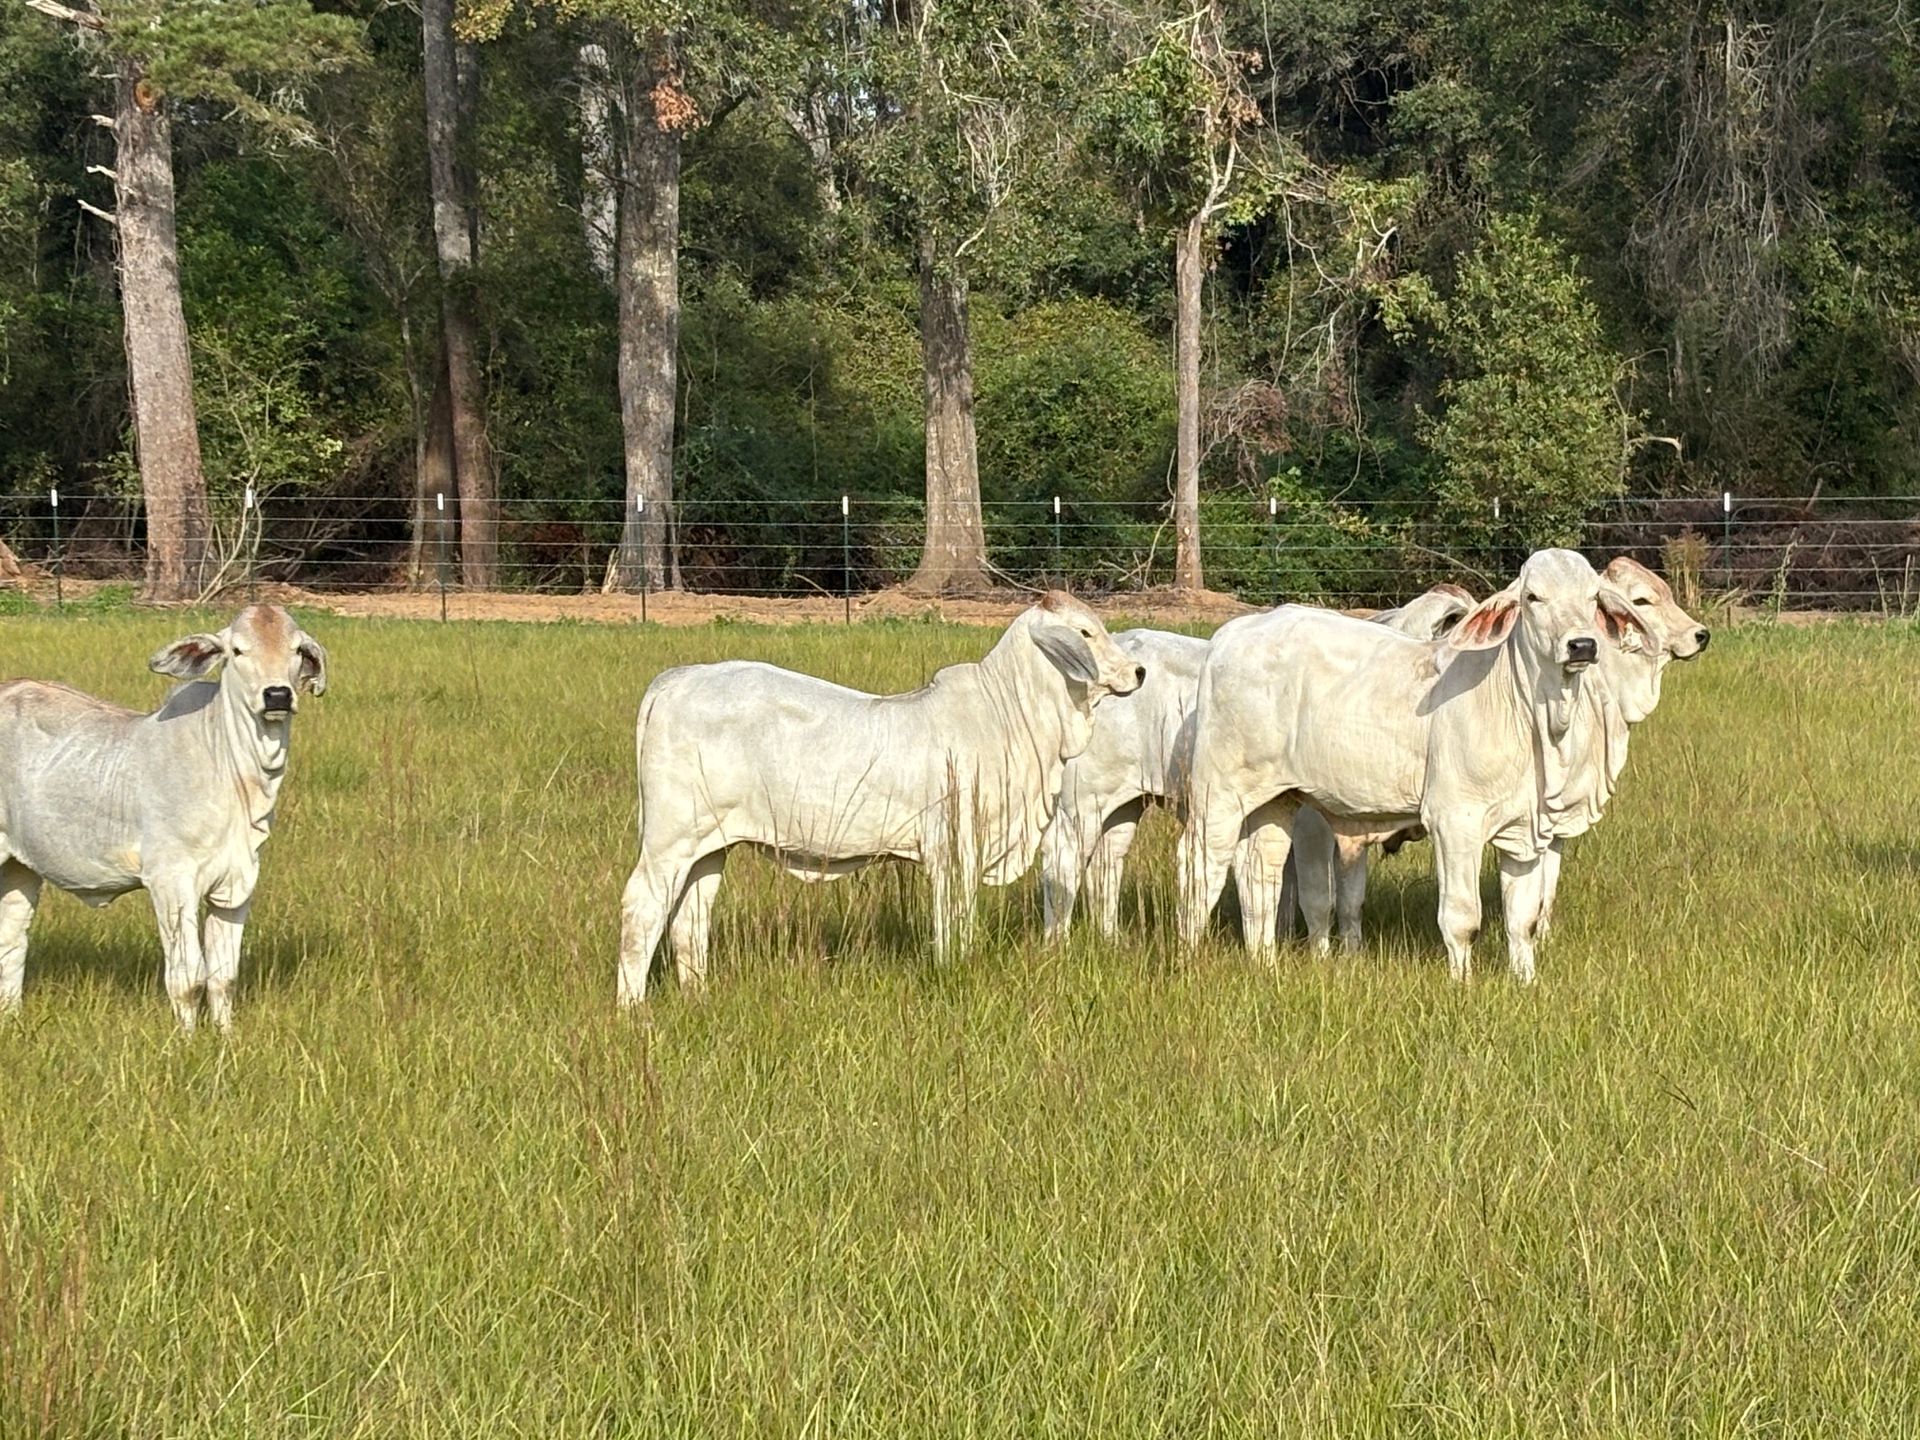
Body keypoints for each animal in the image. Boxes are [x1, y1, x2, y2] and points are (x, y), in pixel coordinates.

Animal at [0, 604, 328, 1030]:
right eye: (237, 650)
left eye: (297, 650)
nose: (277, 695)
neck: (232, 771)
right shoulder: (171, 881)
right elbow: (188, 978)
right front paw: (187, 1039)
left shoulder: (238, 883)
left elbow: (224, 977)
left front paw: (226, 1037)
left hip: (19, 867)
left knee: (12, 940)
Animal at [616, 592, 1144, 1003]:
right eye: (1085, 632)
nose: (1137, 672)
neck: (1006, 713)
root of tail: (676, 679)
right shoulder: (953, 848)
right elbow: (953, 919)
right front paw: (954, 966)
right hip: (668, 840)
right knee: (642, 908)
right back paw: (632, 1007)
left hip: (709, 846)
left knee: (691, 916)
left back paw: (697, 994)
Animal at [1039, 584, 1474, 941]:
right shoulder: (1312, 827)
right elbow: (1319, 898)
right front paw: (1320, 956)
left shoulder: (1350, 833)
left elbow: (1350, 902)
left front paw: (1349, 954)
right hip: (1082, 801)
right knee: (1062, 861)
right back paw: (1057, 942)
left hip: (1124, 804)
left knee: (1107, 865)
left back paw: (1110, 938)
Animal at [1178, 550, 1655, 982]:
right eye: (1533, 596)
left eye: (1592, 597)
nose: (1582, 645)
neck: (1531, 714)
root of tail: (1230, 635)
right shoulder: (1455, 821)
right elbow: (1462, 918)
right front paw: (1462, 985)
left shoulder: (1525, 829)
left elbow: (1525, 920)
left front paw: (1526, 982)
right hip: (1218, 793)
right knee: (1199, 863)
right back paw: (1190, 957)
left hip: (1276, 798)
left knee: (1260, 869)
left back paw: (1265, 962)